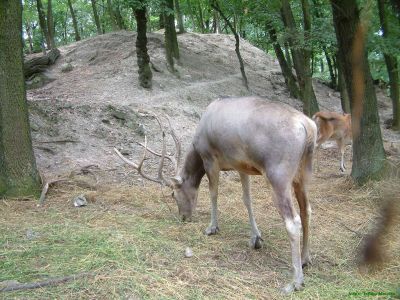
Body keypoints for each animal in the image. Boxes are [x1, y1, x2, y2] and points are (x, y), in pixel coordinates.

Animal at [114, 96, 318, 292]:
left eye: (173, 194)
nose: (183, 217)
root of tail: (308, 127)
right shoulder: (242, 165)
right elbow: (247, 199)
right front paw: (256, 238)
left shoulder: (210, 158)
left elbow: (213, 192)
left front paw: (212, 228)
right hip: (303, 174)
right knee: (307, 210)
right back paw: (305, 259)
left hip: (278, 173)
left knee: (293, 221)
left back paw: (295, 281)